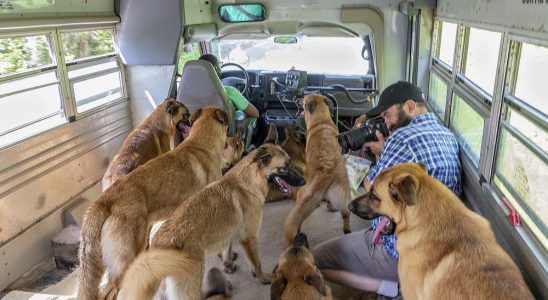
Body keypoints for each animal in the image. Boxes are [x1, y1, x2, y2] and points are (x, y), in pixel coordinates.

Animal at [117, 143, 306, 300]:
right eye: (285, 166)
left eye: (290, 162)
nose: (304, 181)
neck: (248, 182)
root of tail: (158, 245)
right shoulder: (250, 238)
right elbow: (256, 263)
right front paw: (263, 277)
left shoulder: (229, 233)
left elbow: (227, 250)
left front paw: (228, 265)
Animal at [282, 94, 352, 244]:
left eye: (303, 99)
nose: (296, 99)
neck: (321, 120)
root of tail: (327, 171)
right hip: (342, 195)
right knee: (345, 214)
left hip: (302, 195)